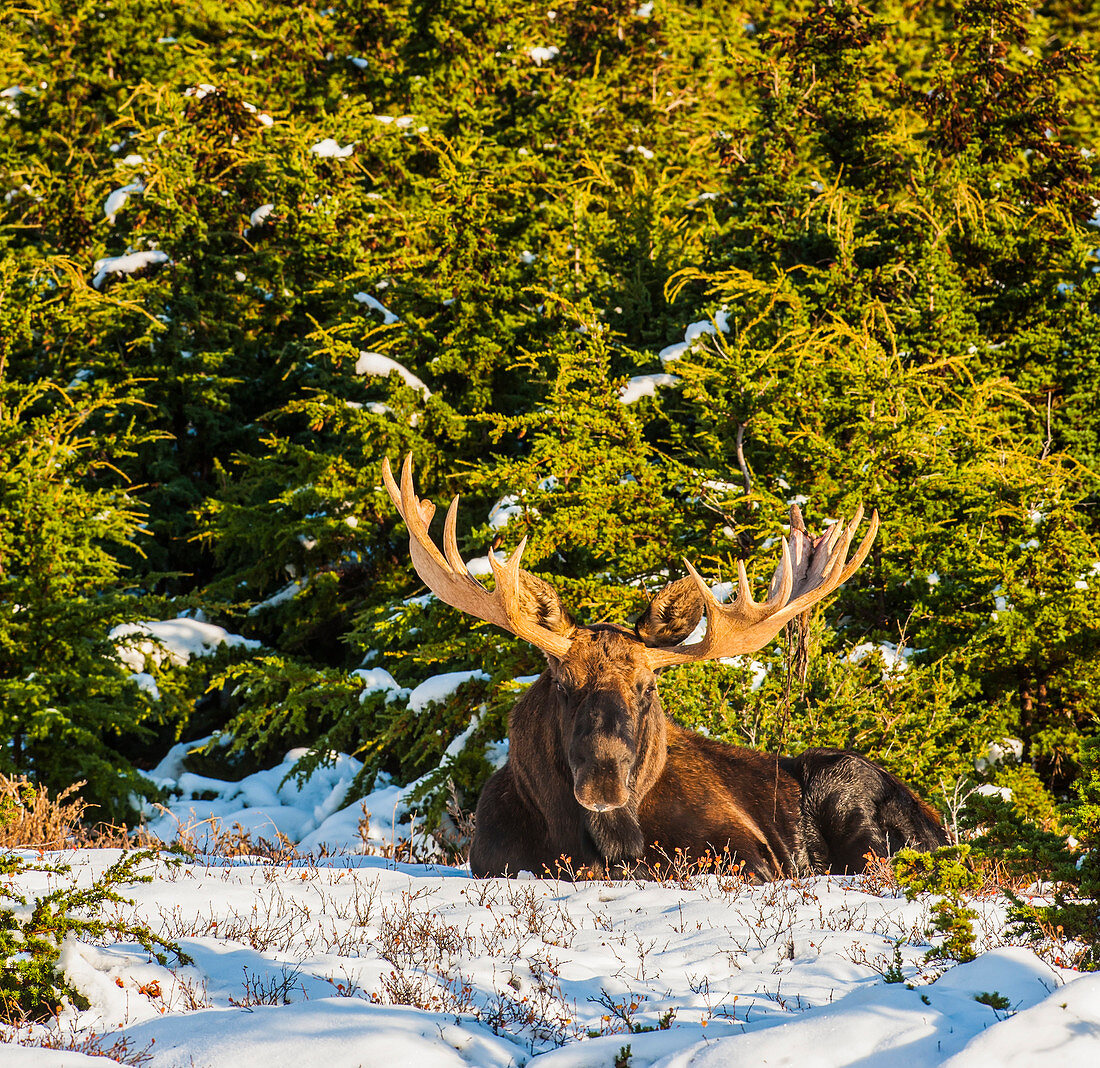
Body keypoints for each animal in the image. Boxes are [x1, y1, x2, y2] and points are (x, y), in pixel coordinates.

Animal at [385, 455, 946, 879]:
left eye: (648, 686)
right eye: (563, 684)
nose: (603, 785)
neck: (605, 841)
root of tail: (941, 828)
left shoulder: (750, 854)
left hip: (850, 792)